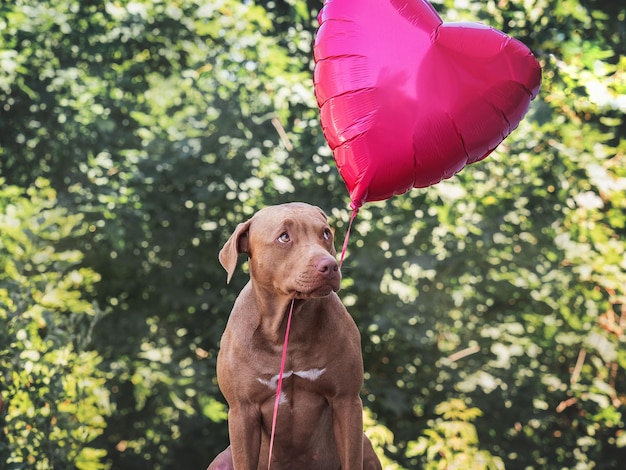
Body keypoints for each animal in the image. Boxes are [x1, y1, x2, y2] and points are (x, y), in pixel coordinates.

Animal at [207, 203, 378, 470]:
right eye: (284, 237)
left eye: (326, 234)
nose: (330, 265)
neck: (289, 325)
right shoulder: (242, 411)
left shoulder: (346, 400)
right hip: (222, 459)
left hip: (366, 445)